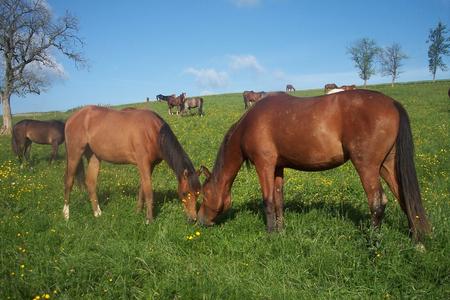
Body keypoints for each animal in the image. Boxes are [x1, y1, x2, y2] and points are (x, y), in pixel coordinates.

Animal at [62, 106, 200, 224]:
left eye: (198, 193)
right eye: (185, 193)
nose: (193, 219)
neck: (153, 132)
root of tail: (71, 118)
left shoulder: (149, 166)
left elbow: (142, 189)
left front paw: (138, 212)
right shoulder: (143, 164)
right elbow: (148, 191)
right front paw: (149, 219)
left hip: (94, 156)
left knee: (90, 183)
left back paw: (97, 213)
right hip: (75, 153)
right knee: (69, 181)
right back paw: (66, 214)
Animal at [199, 90, 430, 243]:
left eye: (203, 194)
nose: (199, 220)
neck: (249, 124)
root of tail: (392, 103)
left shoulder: (264, 165)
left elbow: (268, 201)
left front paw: (271, 234)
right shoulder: (278, 168)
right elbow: (279, 201)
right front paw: (281, 231)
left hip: (367, 167)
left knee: (377, 202)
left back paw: (373, 242)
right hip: (387, 165)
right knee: (405, 199)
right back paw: (416, 241)